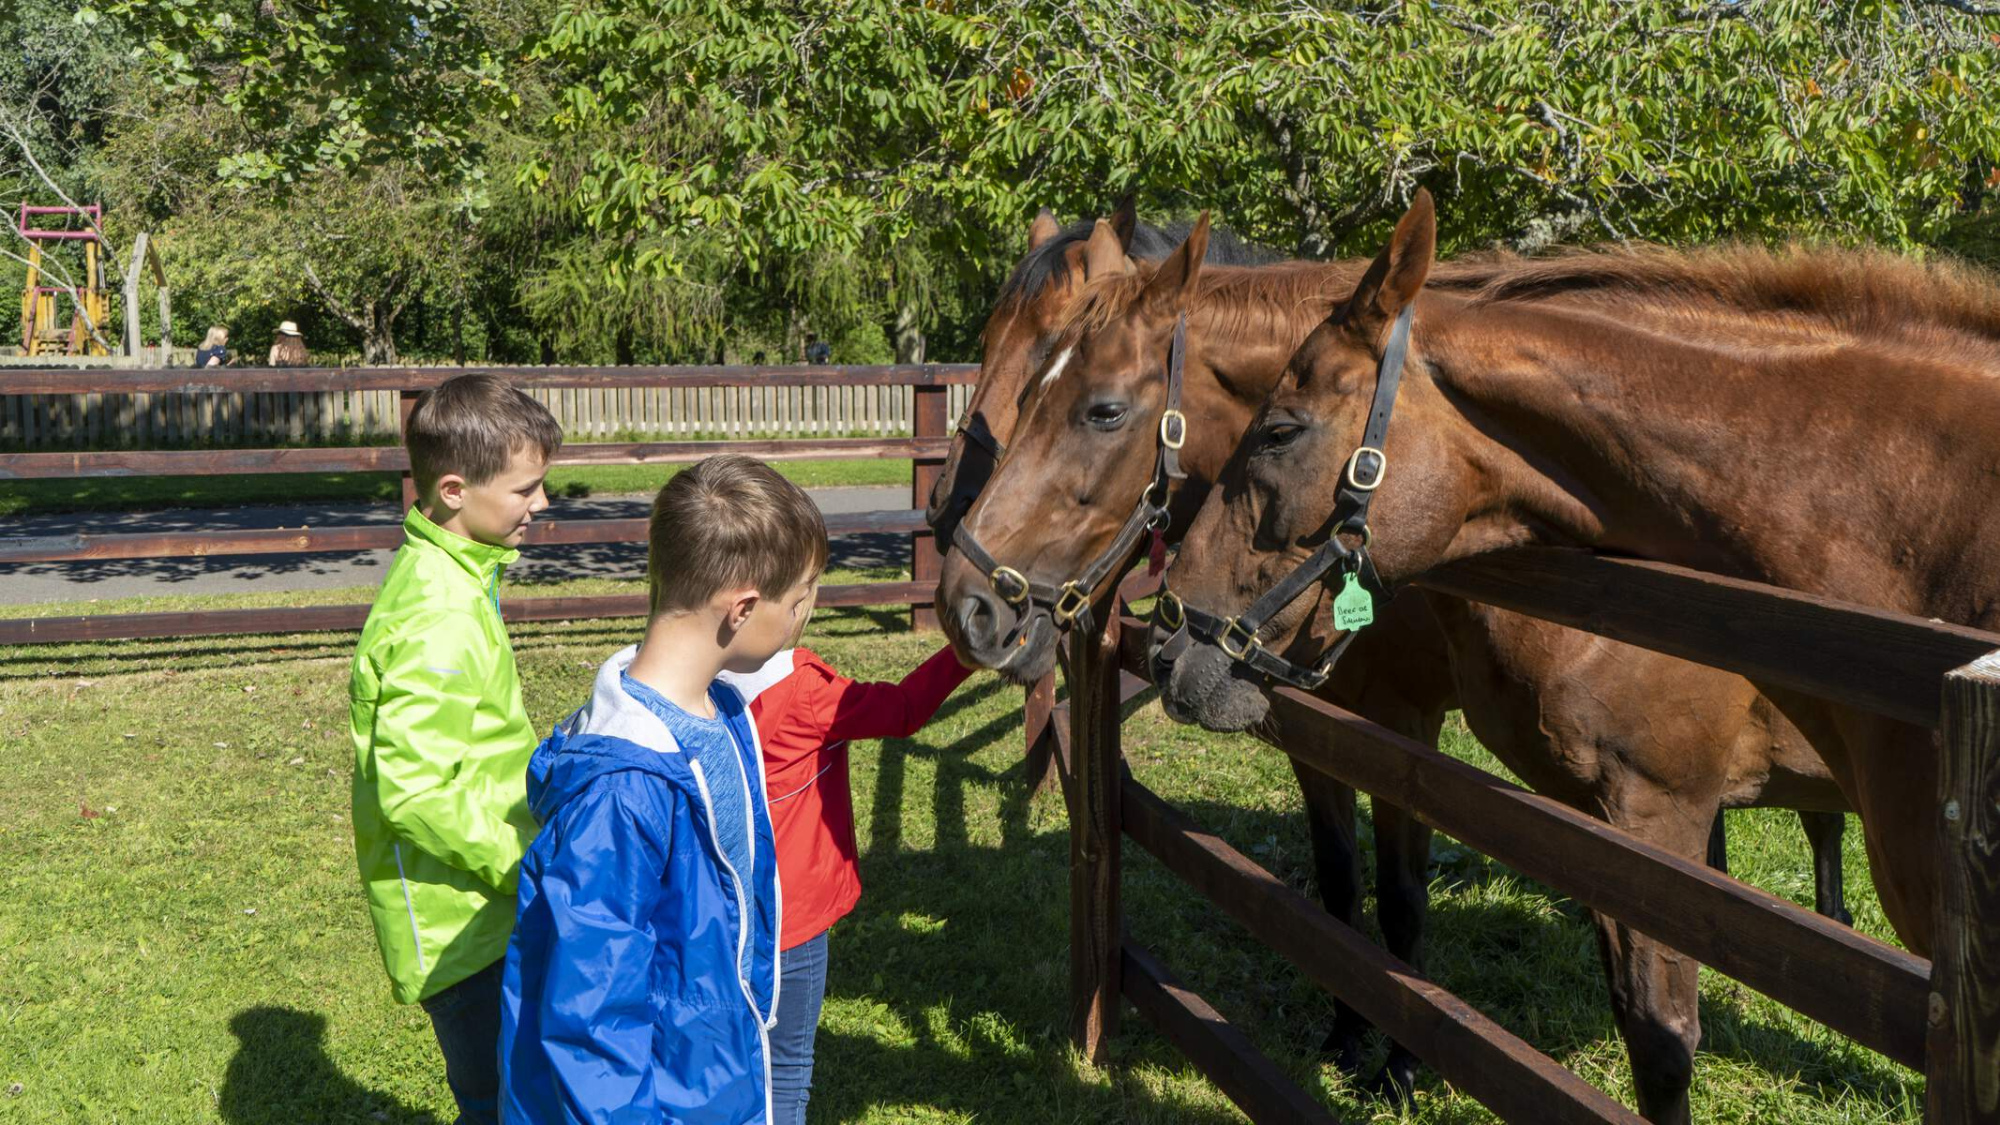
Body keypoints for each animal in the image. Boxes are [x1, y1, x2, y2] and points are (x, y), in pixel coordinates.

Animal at [936, 214, 1856, 1112]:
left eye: (1101, 410)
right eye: (993, 344)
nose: (966, 597)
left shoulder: (1404, 727)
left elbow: (1403, 902)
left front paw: (1403, 1066)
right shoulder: (1315, 726)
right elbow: (1340, 886)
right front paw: (1347, 1036)